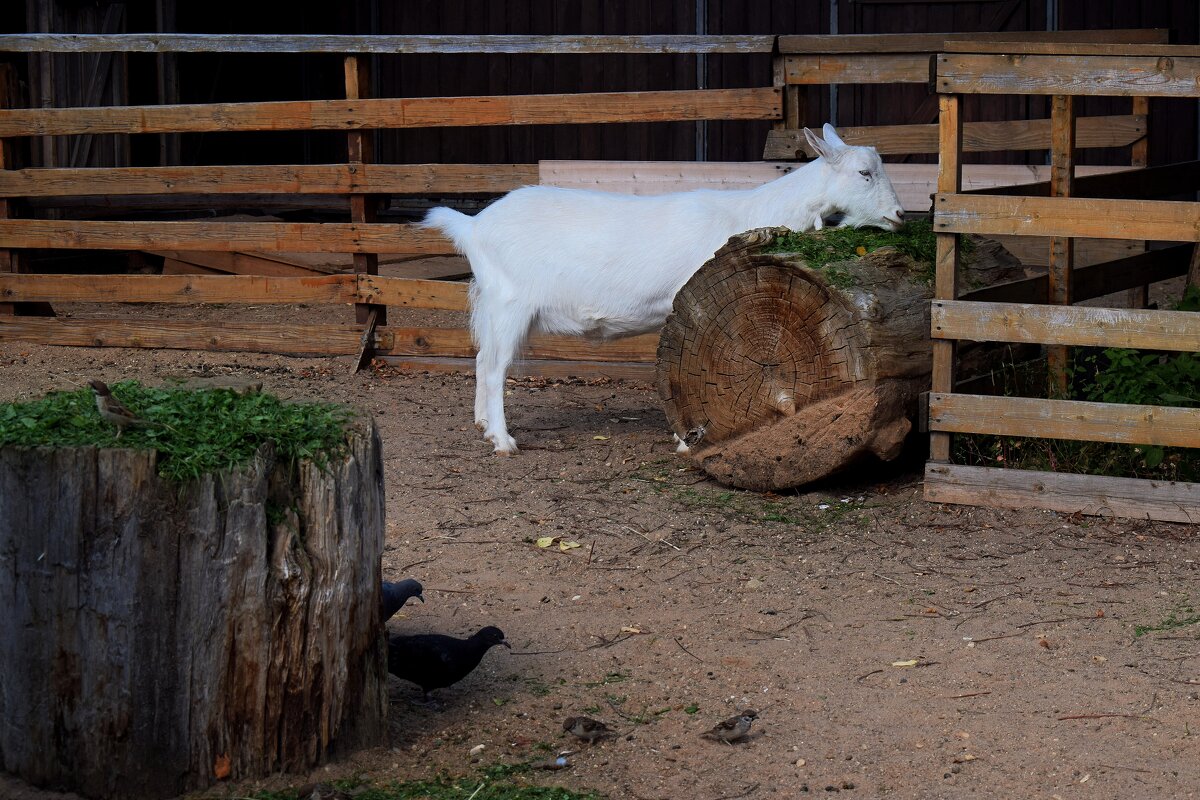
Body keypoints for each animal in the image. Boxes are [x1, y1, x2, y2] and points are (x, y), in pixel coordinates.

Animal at [427, 122, 902, 453]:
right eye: (864, 172)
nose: (899, 215)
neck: (751, 210)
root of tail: (472, 226)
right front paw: (687, 439)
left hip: (492, 304)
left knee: (482, 357)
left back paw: (482, 425)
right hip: (509, 304)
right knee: (495, 367)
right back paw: (503, 441)